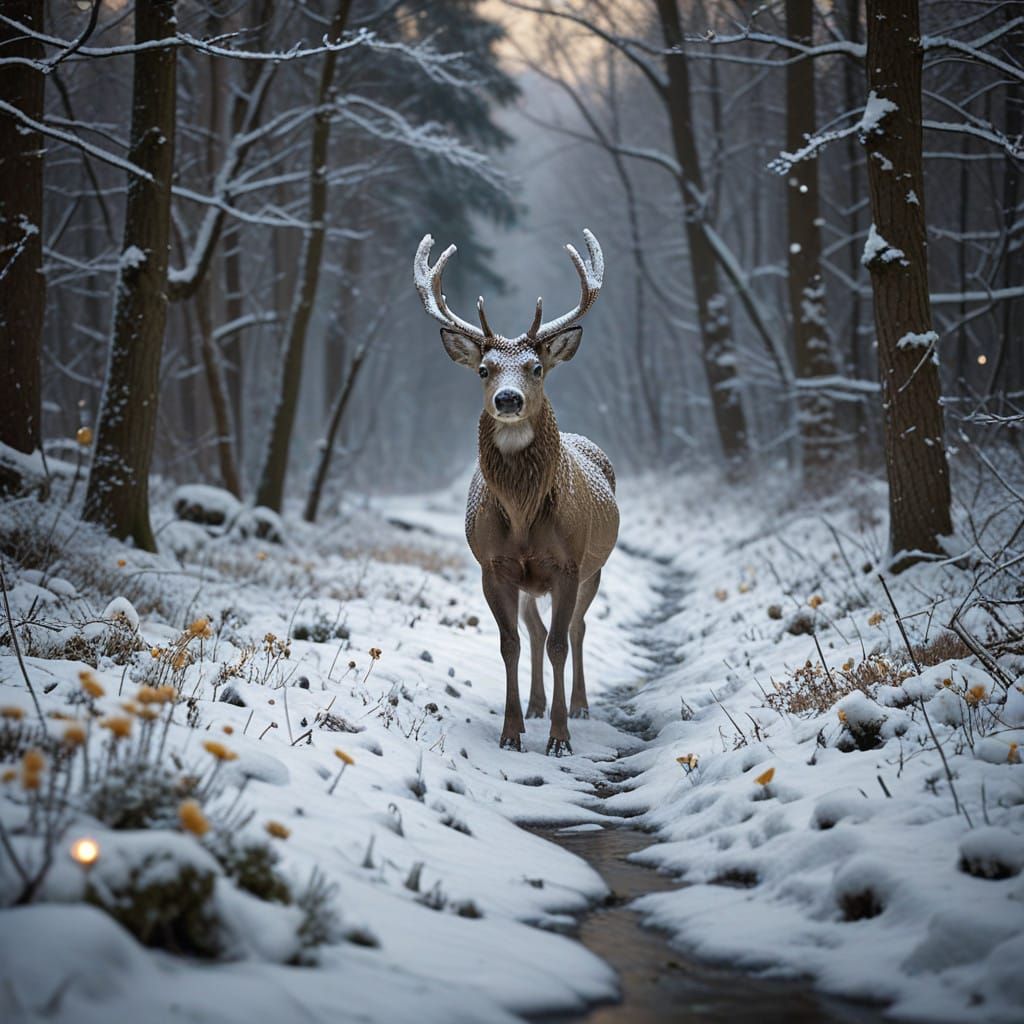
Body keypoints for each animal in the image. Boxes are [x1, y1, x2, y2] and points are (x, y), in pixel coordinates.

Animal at [414, 229, 618, 756]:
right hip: (532, 582)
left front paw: (561, 740)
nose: (508, 399)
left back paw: (580, 706)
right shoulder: (494, 564)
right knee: (536, 630)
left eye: (536, 367)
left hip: (594, 567)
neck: (524, 517)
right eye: (484, 369)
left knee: (577, 629)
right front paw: (512, 732)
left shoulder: (568, 563)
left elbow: (561, 643)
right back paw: (535, 706)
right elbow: (511, 643)